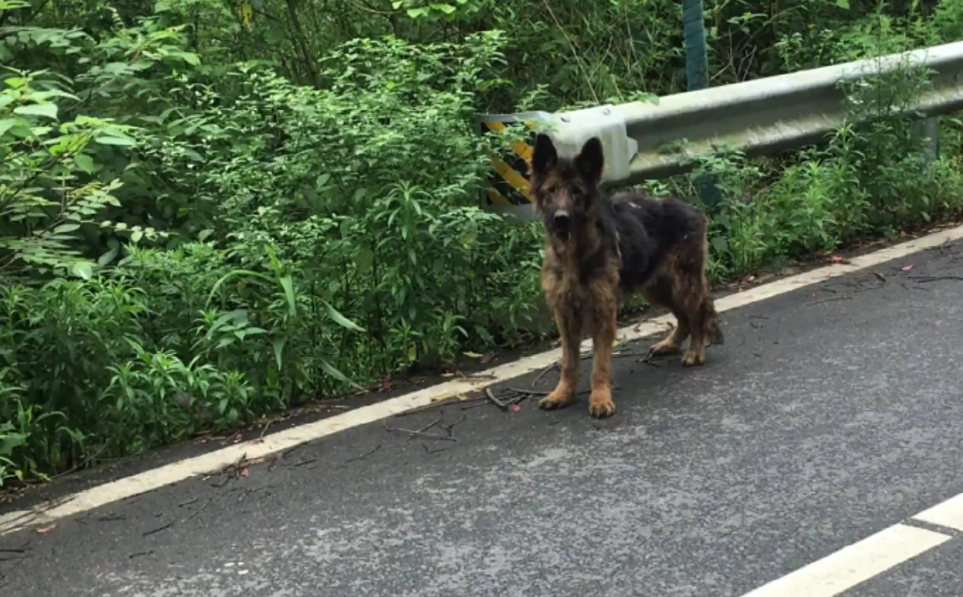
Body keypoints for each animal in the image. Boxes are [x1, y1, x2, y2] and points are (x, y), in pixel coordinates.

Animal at [528, 133, 724, 416]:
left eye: (576, 192)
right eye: (551, 190)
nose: (560, 219)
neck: (575, 255)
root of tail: (691, 208)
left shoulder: (604, 312)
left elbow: (599, 364)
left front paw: (600, 398)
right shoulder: (565, 316)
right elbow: (568, 362)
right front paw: (562, 394)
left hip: (683, 282)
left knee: (696, 314)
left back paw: (696, 353)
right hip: (656, 288)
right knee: (683, 317)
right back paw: (670, 344)